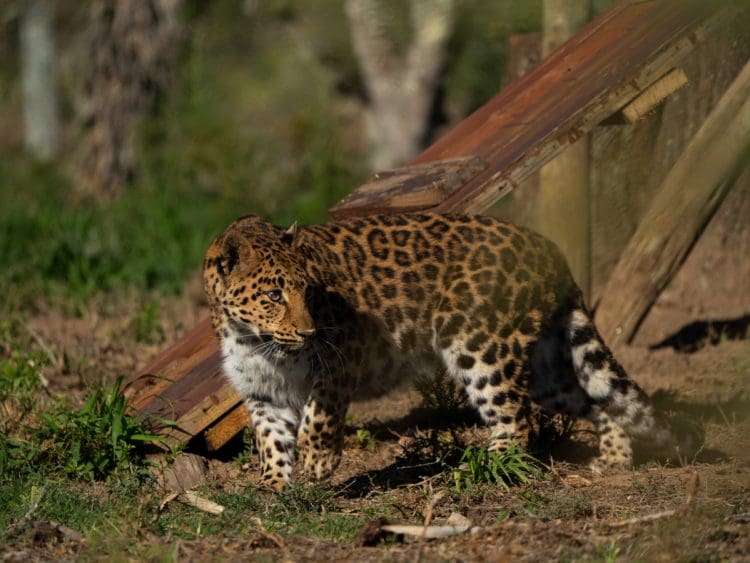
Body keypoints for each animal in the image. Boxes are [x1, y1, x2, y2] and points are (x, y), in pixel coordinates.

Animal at [203, 214, 704, 492]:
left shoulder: (341, 357)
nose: (308, 332)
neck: (253, 339)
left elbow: (318, 416)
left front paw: (319, 461)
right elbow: (271, 440)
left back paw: (484, 467)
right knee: (595, 400)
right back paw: (614, 460)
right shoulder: (262, 393)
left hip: (479, 345)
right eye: (273, 295)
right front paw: (273, 486)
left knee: (517, 419)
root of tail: (548, 249)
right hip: (546, 368)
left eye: (307, 292)